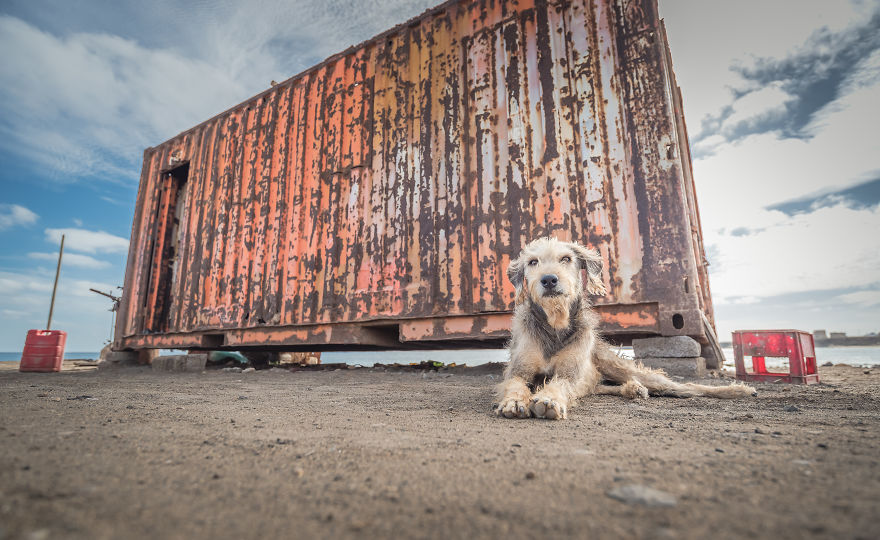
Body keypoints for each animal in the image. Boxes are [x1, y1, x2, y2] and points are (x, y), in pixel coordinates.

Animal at [496, 238, 756, 420]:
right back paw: (633, 390)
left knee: (685, 387)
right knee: (600, 387)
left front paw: (549, 400)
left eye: (566, 259)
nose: (549, 279)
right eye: (533, 262)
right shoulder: (519, 369)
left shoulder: (570, 372)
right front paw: (514, 402)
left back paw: (737, 391)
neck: (554, 326)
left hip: (622, 368)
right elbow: (516, 384)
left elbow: (561, 383)